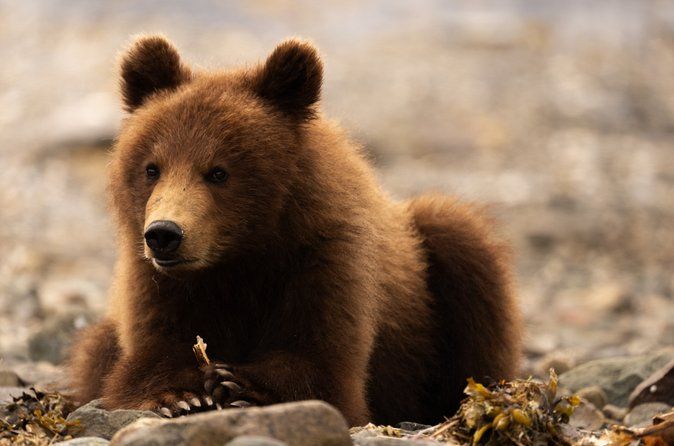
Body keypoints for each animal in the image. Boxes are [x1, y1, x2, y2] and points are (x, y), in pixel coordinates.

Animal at [67, 35, 522, 427]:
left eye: (218, 171)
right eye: (152, 167)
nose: (165, 233)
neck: (241, 255)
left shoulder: (324, 256)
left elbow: (325, 368)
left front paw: (242, 385)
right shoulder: (160, 284)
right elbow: (144, 359)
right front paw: (179, 396)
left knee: (462, 249)